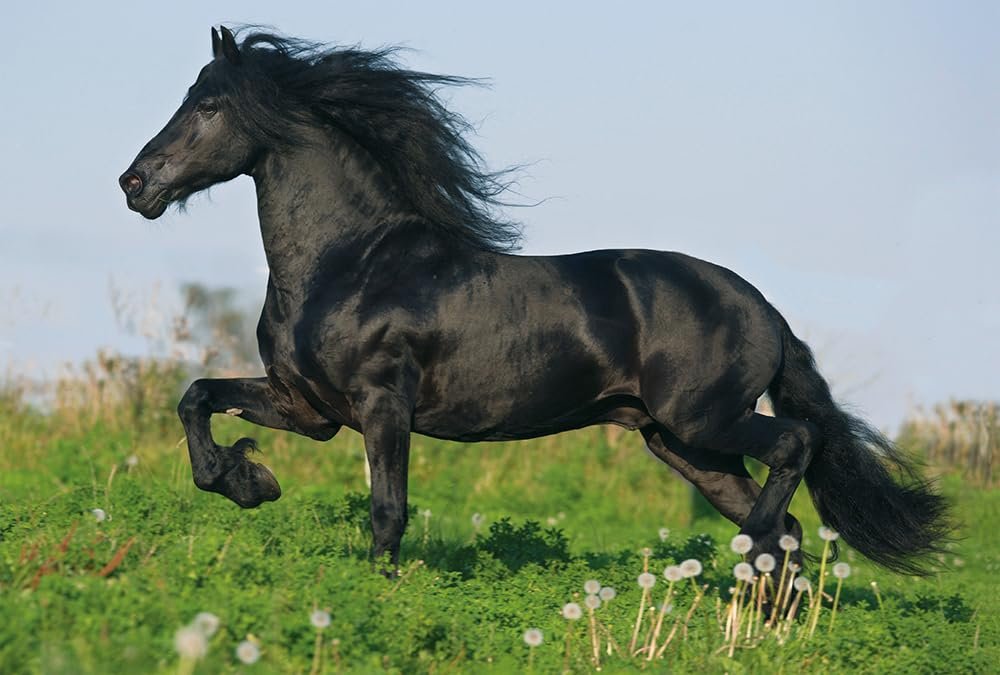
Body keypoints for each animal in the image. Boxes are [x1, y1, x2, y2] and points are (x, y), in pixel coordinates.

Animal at [120, 26, 949, 574]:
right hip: (684, 444)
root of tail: (765, 309)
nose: (135, 183)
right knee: (789, 527)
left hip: (703, 419)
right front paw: (250, 480)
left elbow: (388, 512)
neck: (351, 261)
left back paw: (748, 566)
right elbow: (197, 397)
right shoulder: (309, 407)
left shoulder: (383, 404)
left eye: (210, 107)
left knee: (792, 454)